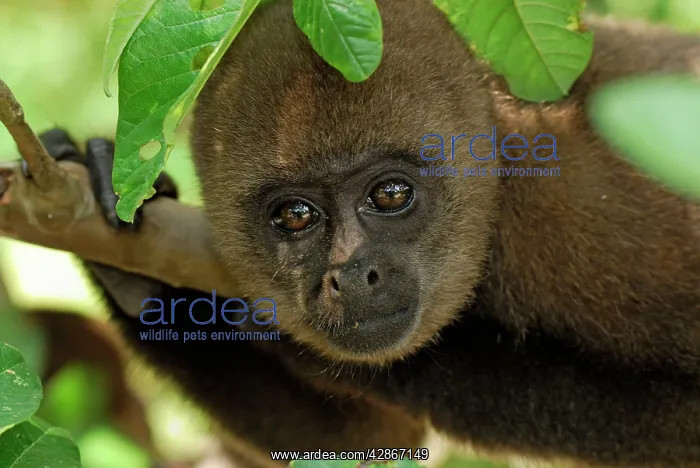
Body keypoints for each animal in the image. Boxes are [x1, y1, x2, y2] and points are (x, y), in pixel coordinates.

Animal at [30, 0, 700, 467]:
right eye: (295, 216)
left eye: (391, 195)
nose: (353, 274)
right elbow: (374, 438)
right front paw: (136, 278)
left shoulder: (596, 216)